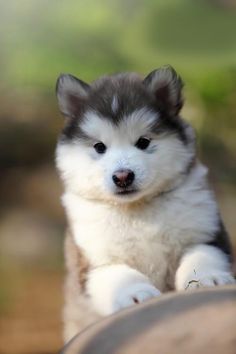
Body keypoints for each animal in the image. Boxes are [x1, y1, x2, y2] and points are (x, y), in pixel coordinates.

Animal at [54, 67, 234, 342]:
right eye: (99, 147)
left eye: (143, 142)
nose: (122, 176)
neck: (137, 209)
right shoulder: (93, 263)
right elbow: (120, 275)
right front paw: (137, 293)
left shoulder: (205, 233)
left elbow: (201, 256)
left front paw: (208, 278)